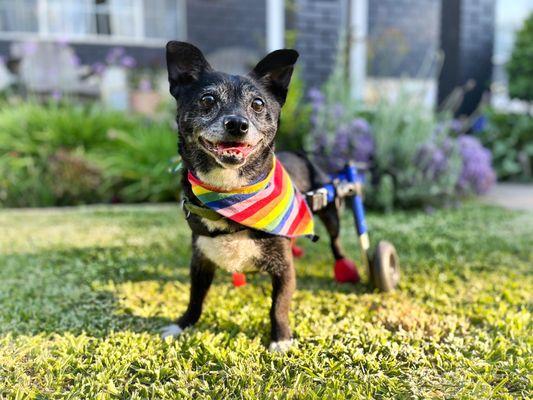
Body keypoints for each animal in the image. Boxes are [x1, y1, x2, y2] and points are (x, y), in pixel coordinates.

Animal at [160, 41, 348, 354]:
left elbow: (278, 306)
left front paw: (281, 338)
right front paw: (182, 324)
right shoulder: (200, 261)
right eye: (208, 99)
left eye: (258, 104)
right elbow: (195, 297)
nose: (237, 124)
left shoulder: (284, 270)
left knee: (335, 241)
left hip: (330, 211)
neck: (231, 194)